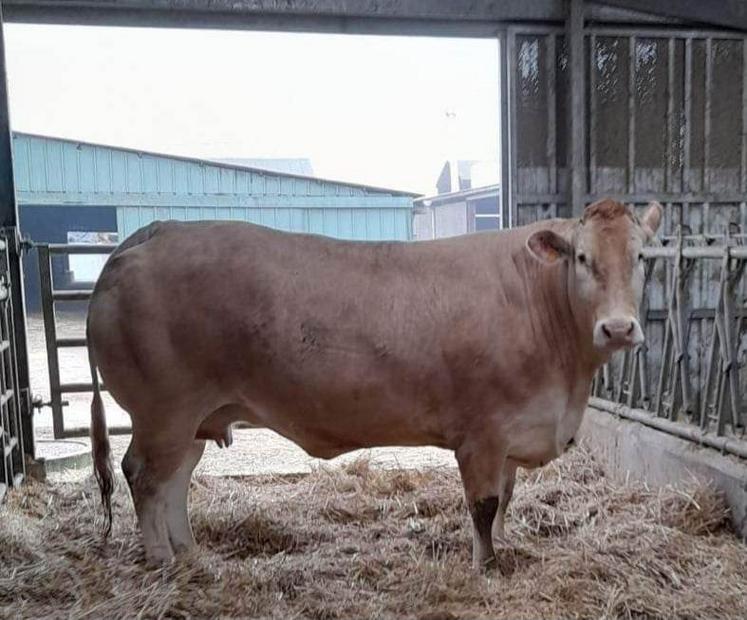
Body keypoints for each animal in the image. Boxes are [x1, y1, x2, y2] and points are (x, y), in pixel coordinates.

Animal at [86, 198, 662, 569]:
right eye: (582, 258)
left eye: (642, 257)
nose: (617, 328)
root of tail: (155, 231)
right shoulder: (481, 433)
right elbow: (483, 505)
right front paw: (488, 565)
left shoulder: (514, 432)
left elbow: (507, 497)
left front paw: (503, 547)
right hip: (163, 412)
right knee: (144, 476)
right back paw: (161, 559)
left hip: (194, 418)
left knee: (176, 479)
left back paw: (188, 552)